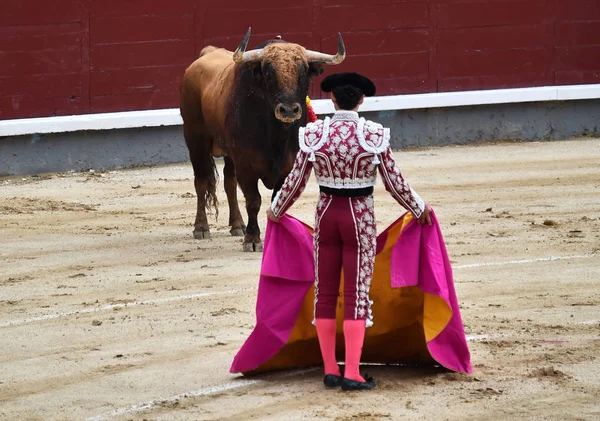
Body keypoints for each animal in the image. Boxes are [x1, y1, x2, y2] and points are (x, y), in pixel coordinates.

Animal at [180, 28, 344, 249]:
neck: (275, 136)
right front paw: (252, 239)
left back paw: (237, 225)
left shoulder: (287, 166)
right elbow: (253, 200)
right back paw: (201, 228)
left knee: (229, 182)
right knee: (201, 181)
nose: (289, 110)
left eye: (303, 72)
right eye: (268, 73)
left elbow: (276, 200)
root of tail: (205, 54)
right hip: (195, 139)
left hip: (229, 153)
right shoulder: (246, 166)